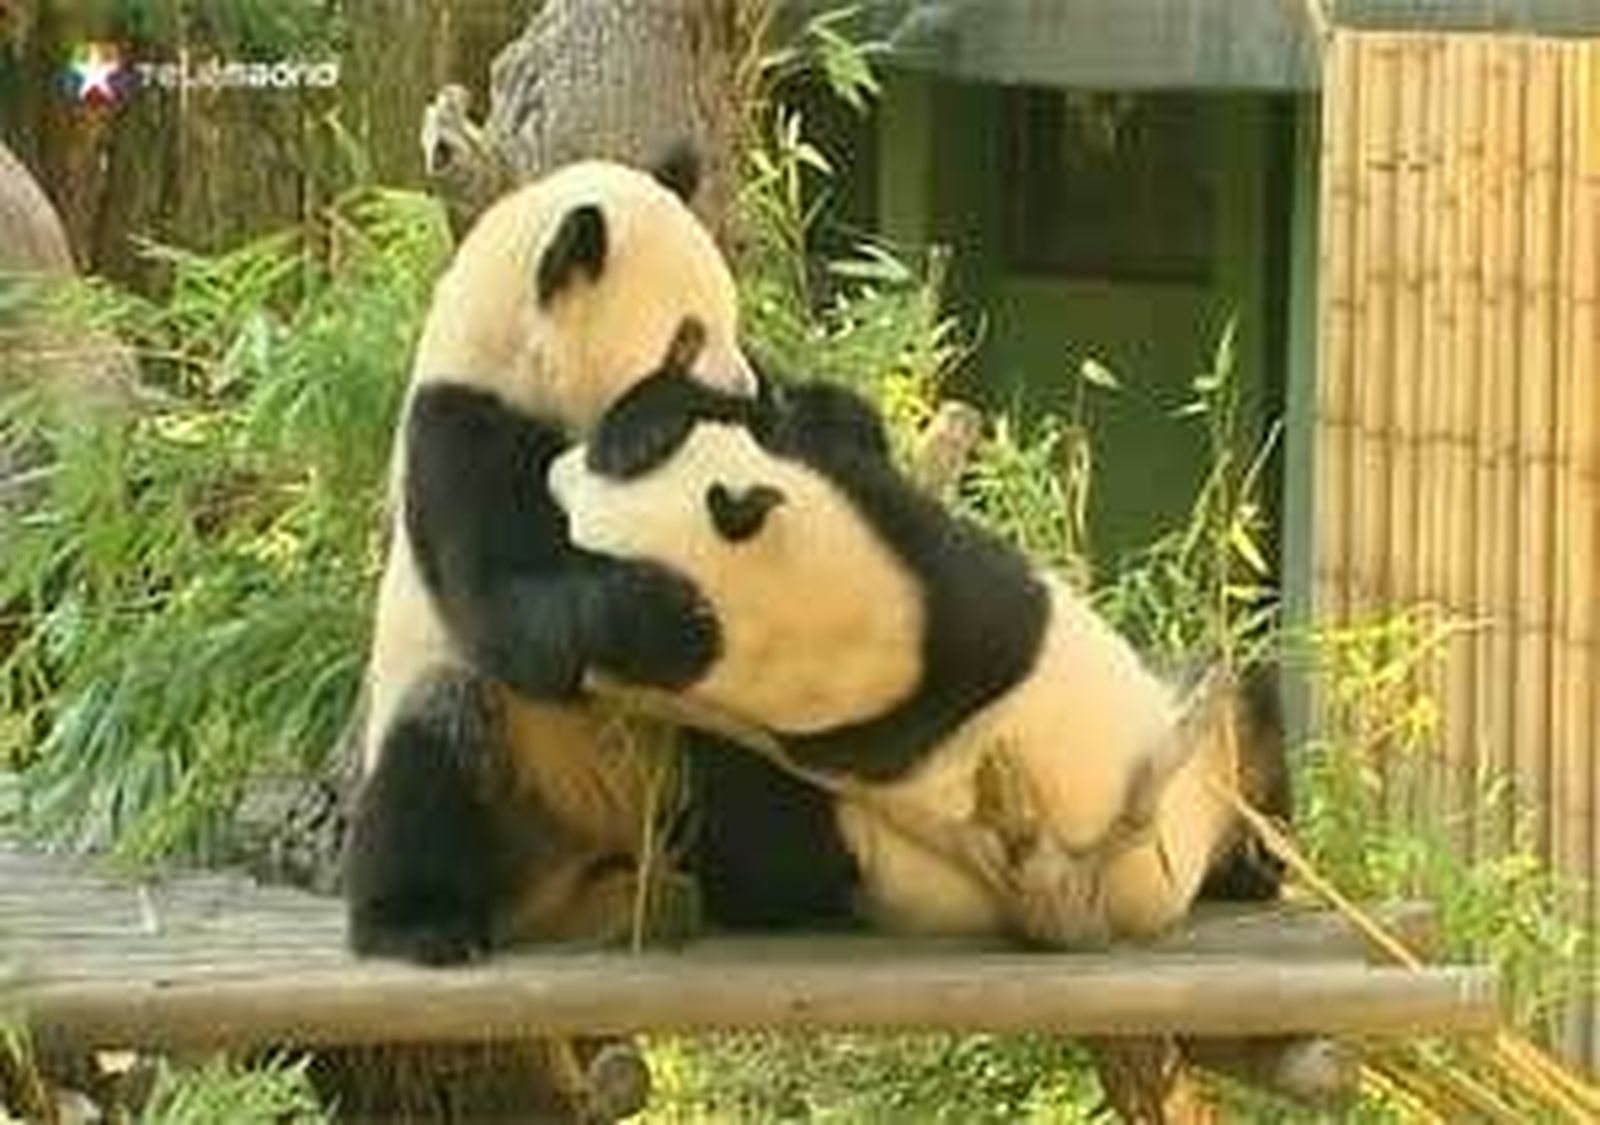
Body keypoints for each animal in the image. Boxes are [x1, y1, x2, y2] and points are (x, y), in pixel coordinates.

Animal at [344, 152, 757, 965]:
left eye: (731, 317)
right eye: (685, 337)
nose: (745, 390)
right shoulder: (459, 434)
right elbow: (511, 608)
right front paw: (668, 614)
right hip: (493, 766)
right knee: (433, 744)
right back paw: (418, 921)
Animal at [541, 333, 1291, 943]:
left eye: (599, 457)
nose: (554, 471)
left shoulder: (940, 573)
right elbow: (765, 862)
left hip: (1200, 748)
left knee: (1253, 709)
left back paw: (1257, 869)